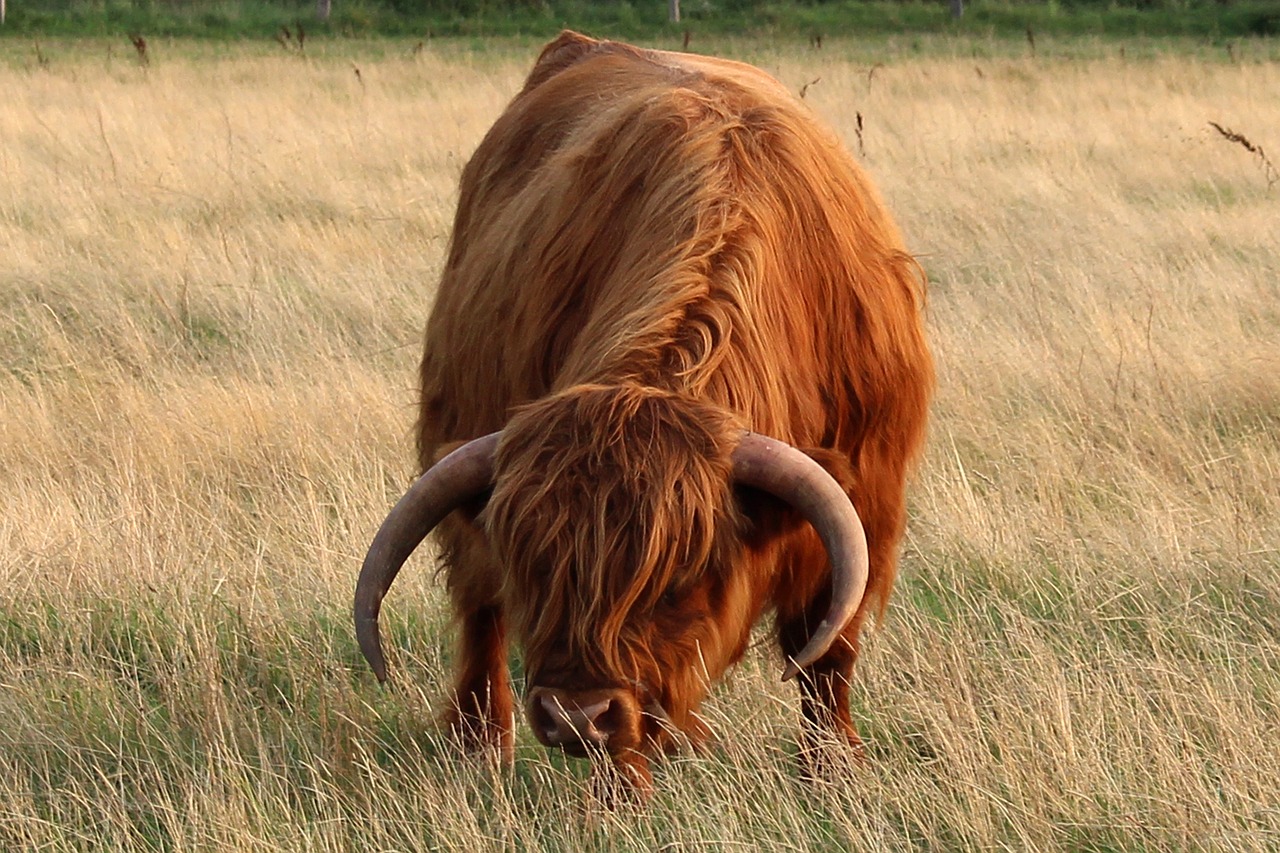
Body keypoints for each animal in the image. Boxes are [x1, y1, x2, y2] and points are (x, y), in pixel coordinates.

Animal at [355, 33, 936, 788]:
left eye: (676, 578)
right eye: (535, 565)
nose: (576, 715)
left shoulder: (868, 499)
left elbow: (828, 651)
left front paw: (832, 771)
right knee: (479, 614)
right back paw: (479, 744)